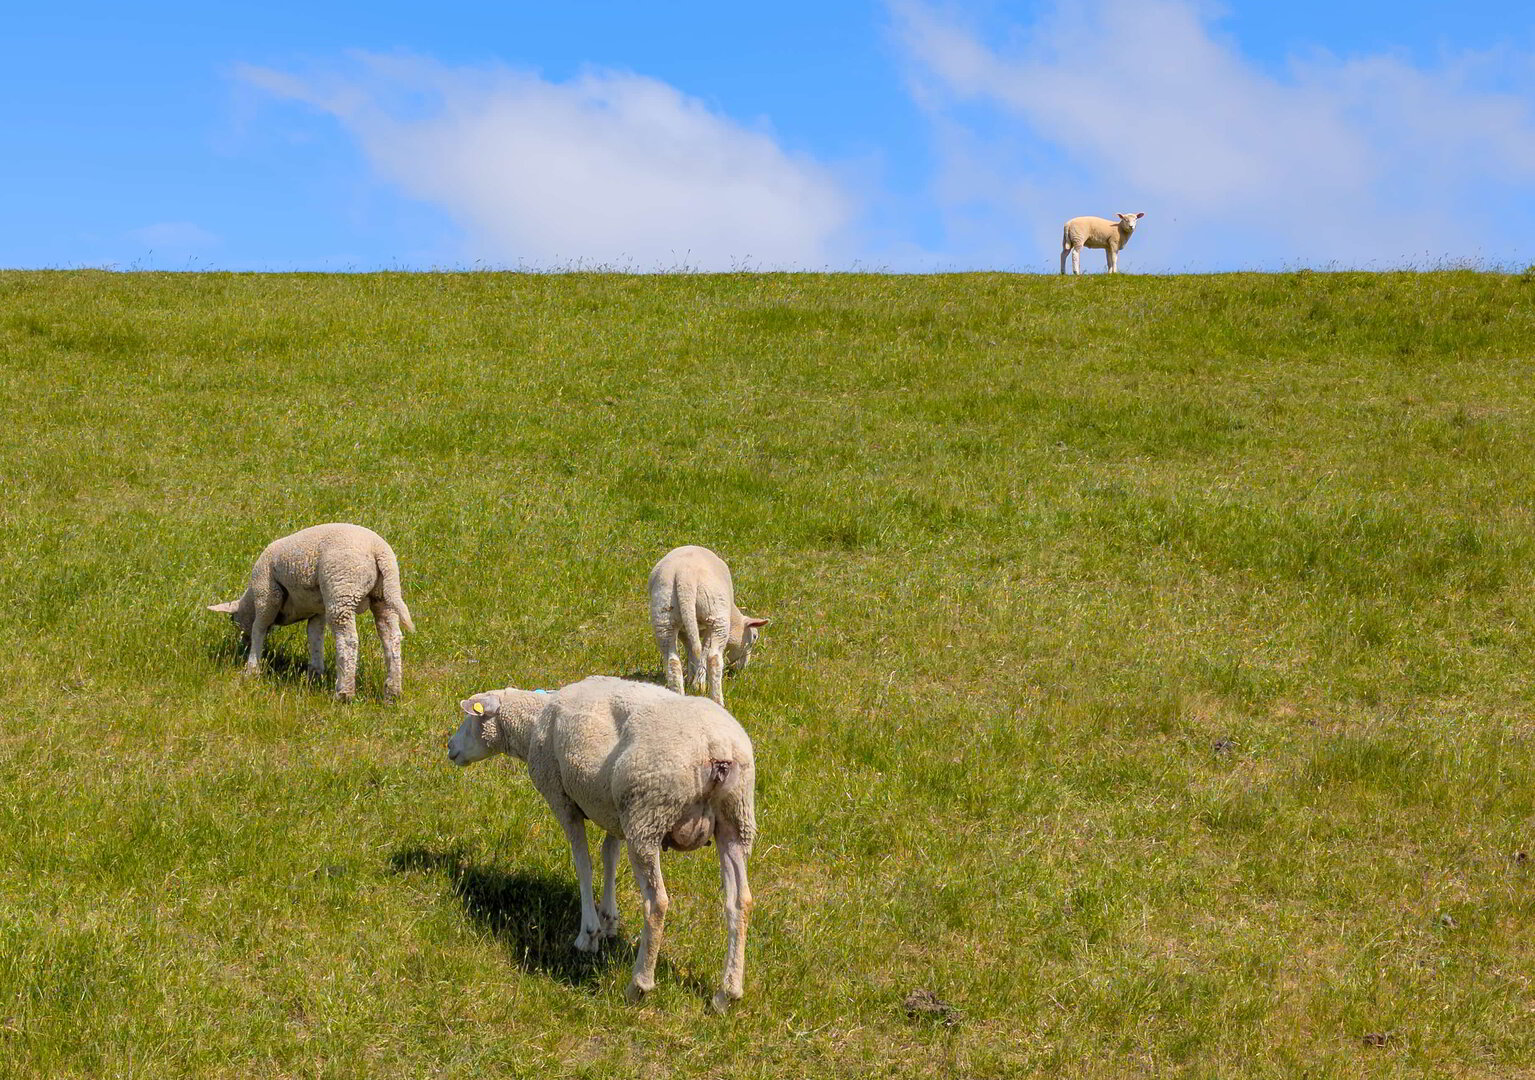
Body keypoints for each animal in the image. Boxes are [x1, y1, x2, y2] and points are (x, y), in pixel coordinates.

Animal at [207, 522, 415, 701]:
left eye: (233, 619)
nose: (243, 644)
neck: (250, 599)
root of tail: (378, 550)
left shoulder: (267, 594)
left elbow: (259, 628)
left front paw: (251, 668)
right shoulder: (317, 612)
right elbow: (315, 637)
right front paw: (315, 673)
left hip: (343, 588)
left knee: (348, 641)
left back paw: (344, 693)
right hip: (383, 595)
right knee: (392, 637)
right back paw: (392, 692)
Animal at [448, 675, 757, 1012]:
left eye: (470, 719)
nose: (450, 747)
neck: (532, 724)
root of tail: (716, 747)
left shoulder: (562, 799)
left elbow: (583, 863)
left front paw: (589, 934)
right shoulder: (614, 812)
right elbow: (609, 856)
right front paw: (609, 920)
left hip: (648, 815)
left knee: (657, 903)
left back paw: (638, 985)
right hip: (733, 819)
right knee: (740, 901)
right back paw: (728, 992)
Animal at [648, 545, 768, 706]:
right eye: (754, 637)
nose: (742, 668)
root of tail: (685, 577)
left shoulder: (685, 630)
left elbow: (691, 649)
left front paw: (692, 679)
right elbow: (703, 651)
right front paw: (698, 684)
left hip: (664, 615)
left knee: (672, 660)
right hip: (716, 615)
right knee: (713, 658)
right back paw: (718, 700)